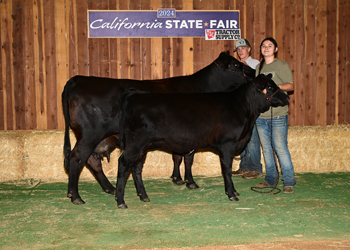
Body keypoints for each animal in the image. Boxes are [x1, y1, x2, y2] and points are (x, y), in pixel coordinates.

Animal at [63, 51, 254, 205]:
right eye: (235, 64)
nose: (252, 72)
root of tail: (77, 79)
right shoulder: (190, 134)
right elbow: (187, 158)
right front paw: (190, 182)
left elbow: (178, 157)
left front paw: (177, 178)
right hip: (90, 134)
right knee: (77, 158)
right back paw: (76, 196)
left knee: (90, 160)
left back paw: (107, 188)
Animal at [116, 74, 288, 209]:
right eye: (270, 87)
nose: (287, 97)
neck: (244, 109)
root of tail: (135, 94)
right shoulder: (228, 144)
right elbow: (227, 169)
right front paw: (231, 193)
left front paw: (233, 191)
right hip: (135, 143)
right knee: (123, 163)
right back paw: (120, 201)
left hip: (143, 147)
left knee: (137, 168)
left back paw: (143, 195)